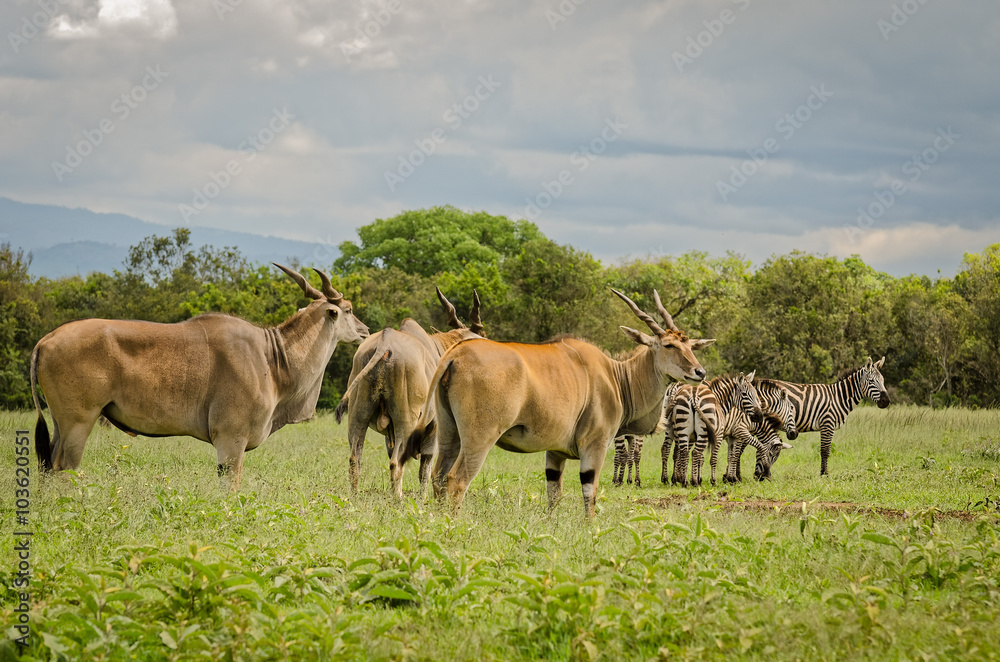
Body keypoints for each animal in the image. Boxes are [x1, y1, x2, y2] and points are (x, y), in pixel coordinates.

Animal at [732, 357, 890, 477]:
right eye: (871, 381)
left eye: (883, 380)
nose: (886, 401)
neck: (839, 397)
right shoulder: (827, 423)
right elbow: (825, 451)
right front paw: (824, 474)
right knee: (740, 447)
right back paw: (737, 476)